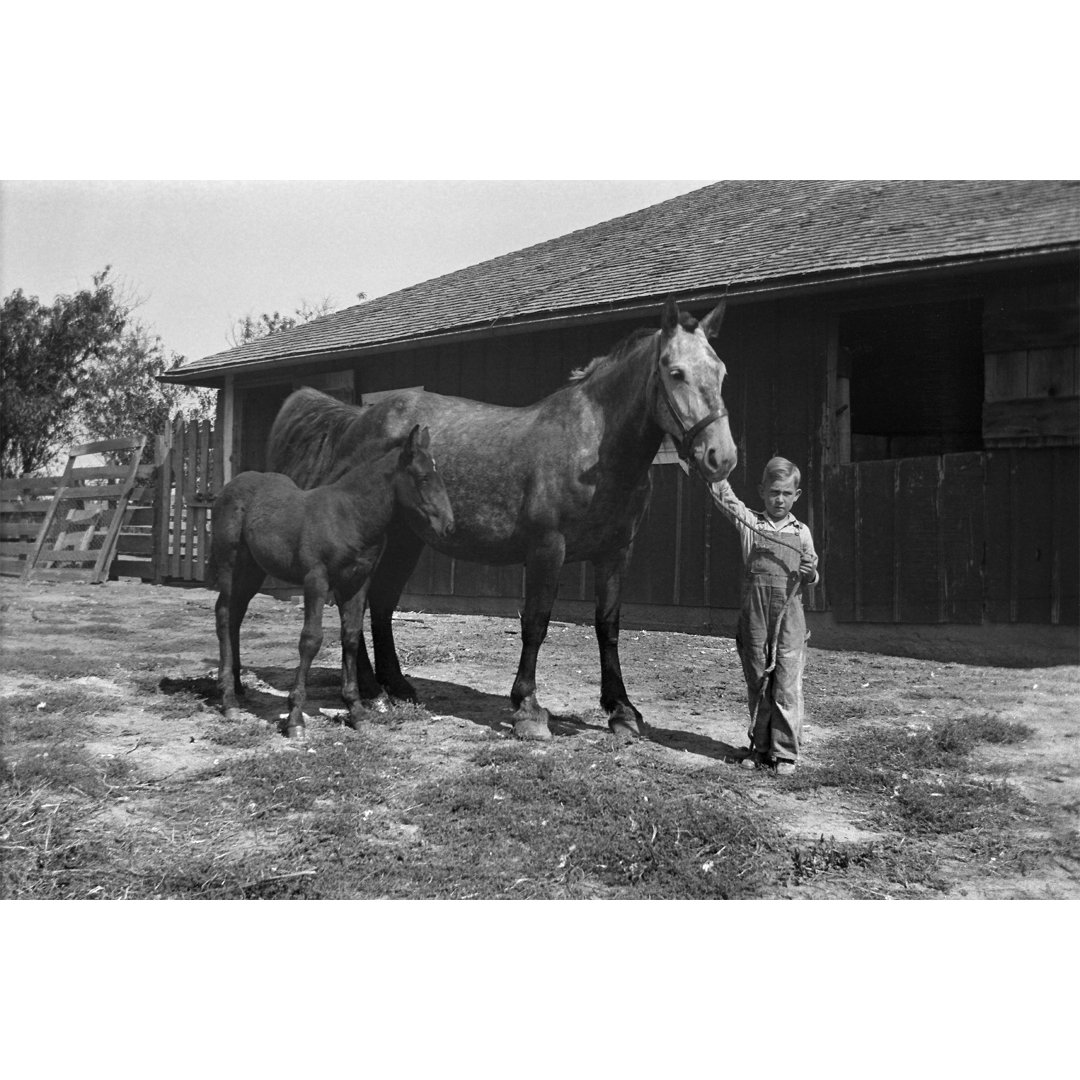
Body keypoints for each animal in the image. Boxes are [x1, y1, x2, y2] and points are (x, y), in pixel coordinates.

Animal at [208, 425, 453, 738]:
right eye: (422, 477)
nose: (448, 526)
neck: (349, 515)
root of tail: (231, 486)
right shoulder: (317, 580)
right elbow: (311, 640)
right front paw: (295, 719)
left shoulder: (357, 583)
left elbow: (350, 637)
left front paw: (357, 711)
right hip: (230, 564)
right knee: (225, 614)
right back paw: (228, 701)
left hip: (253, 570)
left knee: (236, 615)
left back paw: (238, 688)